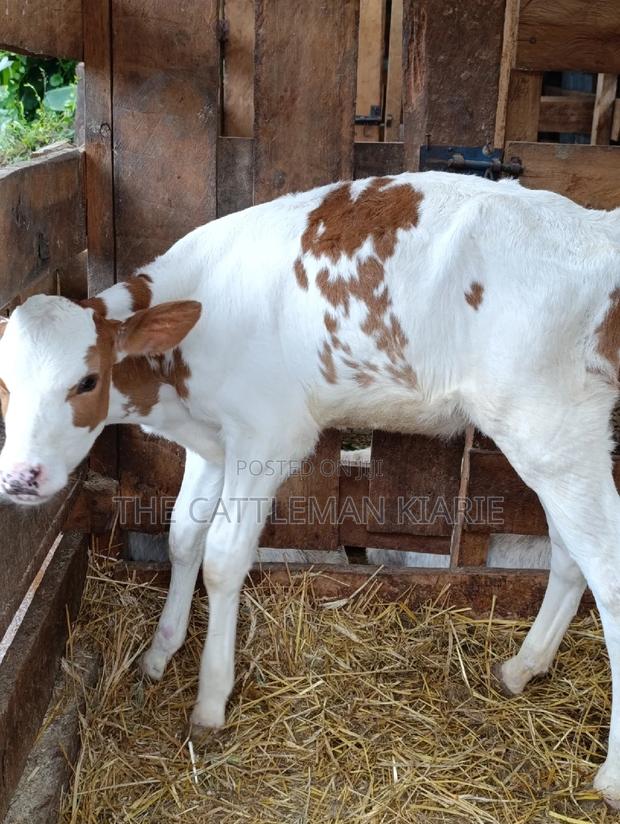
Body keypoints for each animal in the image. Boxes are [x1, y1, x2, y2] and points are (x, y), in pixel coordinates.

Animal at [1, 171, 620, 804]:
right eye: (3, 383)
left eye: (87, 380)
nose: (21, 476)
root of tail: (600, 231)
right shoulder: (213, 441)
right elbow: (181, 536)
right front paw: (160, 651)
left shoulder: (268, 435)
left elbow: (223, 557)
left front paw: (210, 699)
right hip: (560, 437)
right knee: (569, 552)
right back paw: (523, 666)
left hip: (546, 426)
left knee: (608, 568)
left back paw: (610, 773)